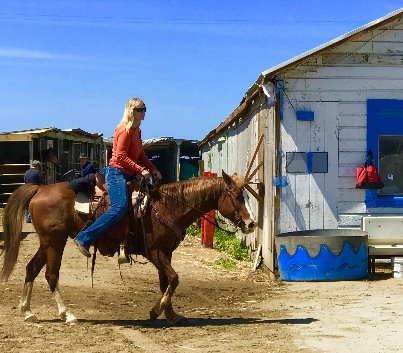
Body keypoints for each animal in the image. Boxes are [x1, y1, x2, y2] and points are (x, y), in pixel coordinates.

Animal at [0, 170, 258, 324]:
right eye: (237, 196)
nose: (251, 223)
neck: (167, 206)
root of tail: (40, 189)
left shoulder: (166, 253)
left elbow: (166, 281)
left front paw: (171, 314)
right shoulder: (155, 252)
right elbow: (174, 279)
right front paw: (157, 310)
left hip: (47, 242)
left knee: (31, 269)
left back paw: (27, 311)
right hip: (56, 242)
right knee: (51, 275)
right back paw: (67, 314)